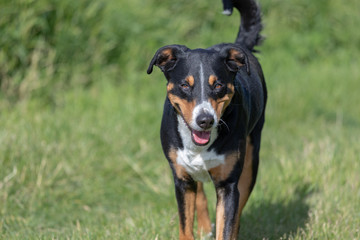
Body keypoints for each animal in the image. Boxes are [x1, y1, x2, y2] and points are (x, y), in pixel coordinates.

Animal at [146, 0, 268, 239]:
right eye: (185, 85)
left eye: (218, 85)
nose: (205, 120)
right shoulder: (182, 180)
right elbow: (185, 226)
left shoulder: (228, 184)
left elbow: (227, 225)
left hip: (251, 160)